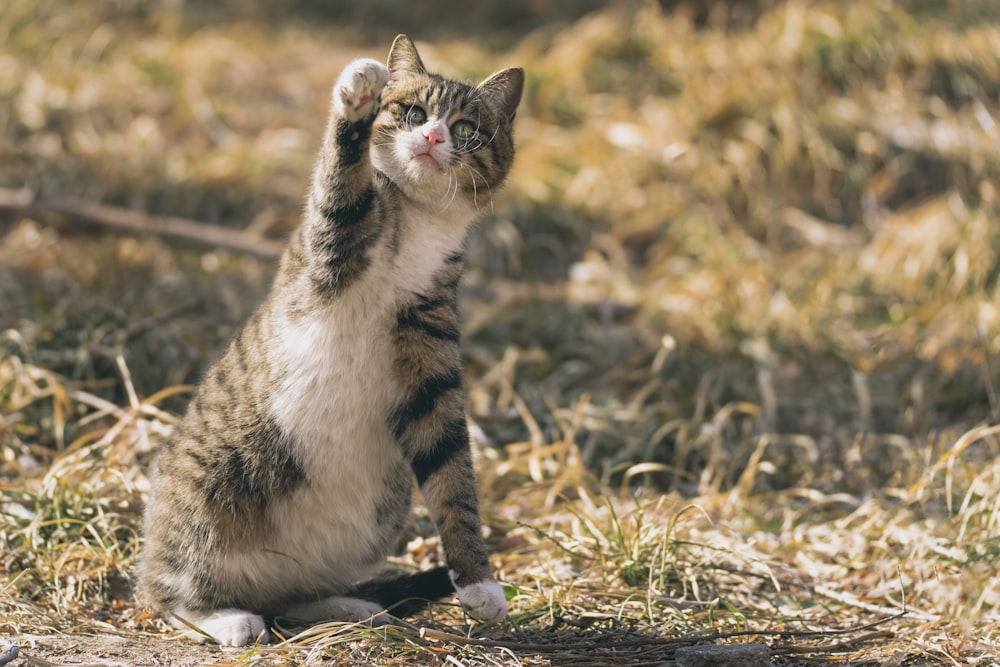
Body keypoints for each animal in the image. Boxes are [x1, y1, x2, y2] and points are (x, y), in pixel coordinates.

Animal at [139, 35, 524, 648]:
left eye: (466, 128)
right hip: (205, 502)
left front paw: (479, 584)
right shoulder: (330, 244)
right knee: (168, 592)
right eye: (412, 113)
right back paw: (225, 617)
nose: (433, 137)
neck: (415, 223)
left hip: (370, 525)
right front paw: (359, 94)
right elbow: (341, 176)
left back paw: (348, 606)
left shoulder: (432, 368)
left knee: (291, 599)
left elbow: (453, 479)